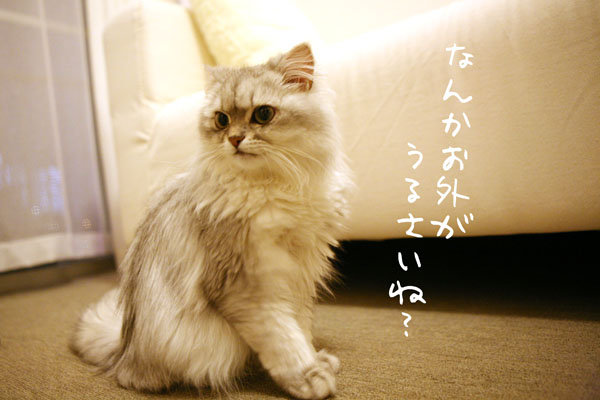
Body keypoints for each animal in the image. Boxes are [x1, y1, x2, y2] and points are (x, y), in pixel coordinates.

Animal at [71, 42, 352, 400]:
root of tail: (124, 349)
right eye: (221, 120)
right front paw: (309, 377)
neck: (274, 188)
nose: (234, 139)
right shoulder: (249, 289)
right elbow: (285, 341)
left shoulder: (300, 281)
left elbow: (301, 329)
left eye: (263, 114)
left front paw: (316, 360)